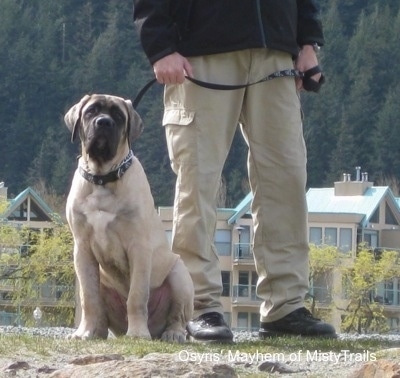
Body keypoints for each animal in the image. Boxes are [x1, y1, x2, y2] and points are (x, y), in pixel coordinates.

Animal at [63, 94, 194, 342]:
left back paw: (172, 333)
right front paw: (85, 331)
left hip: (179, 274)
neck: (102, 178)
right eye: (91, 111)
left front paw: (138, 332)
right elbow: (88, 297)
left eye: (118, 115)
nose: (103, 122)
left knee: (178, 315)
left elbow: (136, 296)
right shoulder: (82, 249)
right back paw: (96, 331)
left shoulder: (139, 248)